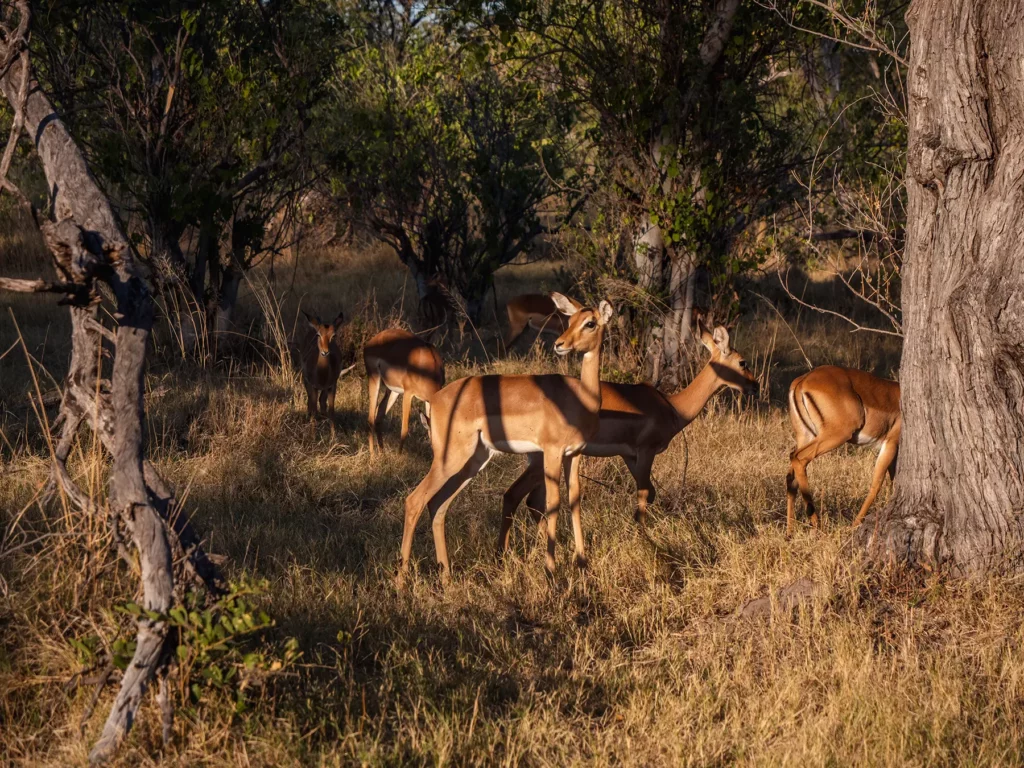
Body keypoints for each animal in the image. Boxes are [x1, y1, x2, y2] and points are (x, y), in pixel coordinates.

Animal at [398, 293, 614, 587]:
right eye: (570, 321)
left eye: (590, 322)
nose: (560, 345)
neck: (581, 399)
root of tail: (435, 400)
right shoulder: (552, 452)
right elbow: (552, 503)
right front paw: (551, 571)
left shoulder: (574, 455)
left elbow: (575, 501)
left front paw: (581, 564)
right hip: (450, 459)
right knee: (414, 501)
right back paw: (401, 580)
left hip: (472, 462)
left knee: (437, 505)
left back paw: (447, 576)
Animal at [498, 322, 758, 552]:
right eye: (742, 362)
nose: (755, 386)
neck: (672, 407)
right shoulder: (646, 451)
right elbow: (643, 494)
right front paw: (644, 540)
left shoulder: (629, 456)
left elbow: (650, 493)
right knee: (515, 495)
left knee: (532, 501)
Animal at [786, 366, 901, 535]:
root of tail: (803, 380)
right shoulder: (891, 443)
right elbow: (877, 483)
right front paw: (854, 525)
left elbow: (892, 481)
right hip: (836, 435)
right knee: (799, 458)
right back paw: (817, 525)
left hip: (805, 435)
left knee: (790, 475)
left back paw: (790, 532)